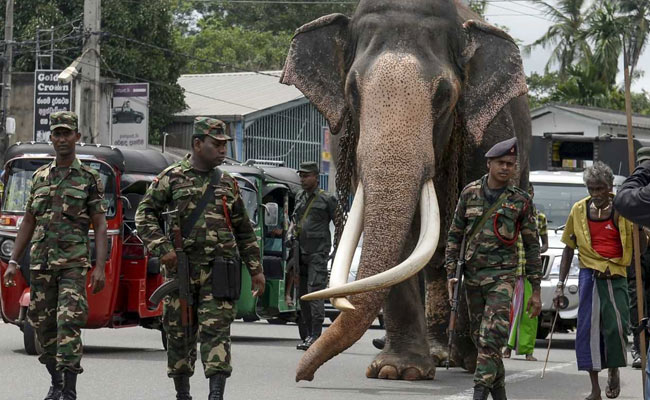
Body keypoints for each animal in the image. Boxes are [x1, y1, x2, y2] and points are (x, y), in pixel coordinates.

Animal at [280, 0, 532, 382]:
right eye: (353, 91)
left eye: (444, 95)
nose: (302, 375)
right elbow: (404, 246)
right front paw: (397, 371)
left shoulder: (489, 136)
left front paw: (463, 362)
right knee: (437, 255)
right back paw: (442, 355)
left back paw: (463, 358)